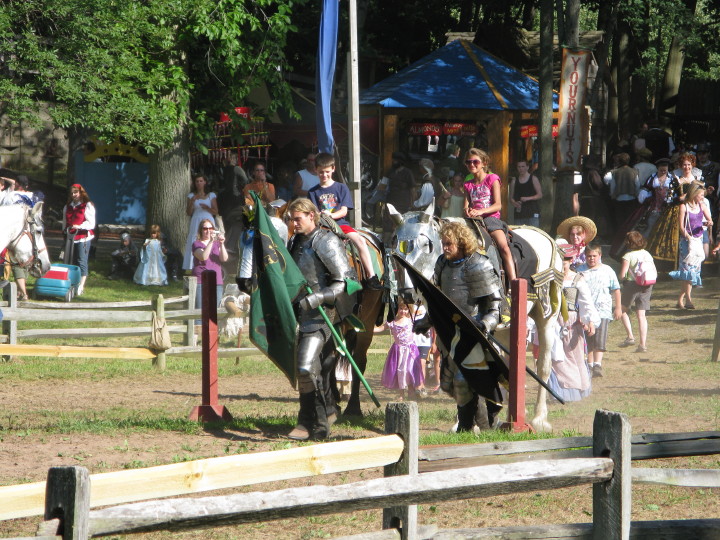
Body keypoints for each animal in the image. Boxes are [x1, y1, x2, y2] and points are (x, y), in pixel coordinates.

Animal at [388, 200, 564, 432]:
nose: (408, 293)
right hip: (508, 328)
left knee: (544, 364)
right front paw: (464, 422)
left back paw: (539, 419)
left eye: (426, 244)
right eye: (396, 244)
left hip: (547, 316)